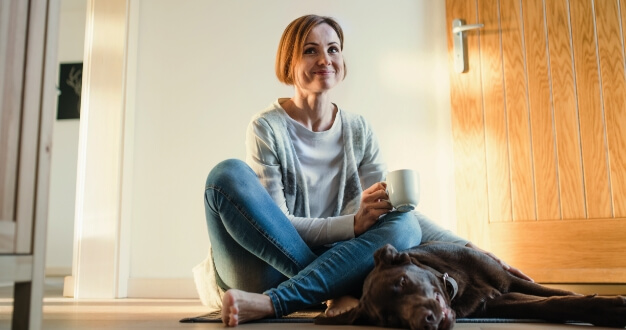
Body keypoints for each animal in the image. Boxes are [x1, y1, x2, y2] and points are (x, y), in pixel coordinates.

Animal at [314, 241, 624, 328]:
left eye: (403, 281)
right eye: (389, 319)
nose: (426, 322)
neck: (457, 285)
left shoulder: (508, 280)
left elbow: (558, 293)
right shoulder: (497, 302)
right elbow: (550, 305)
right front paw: (606, 309)